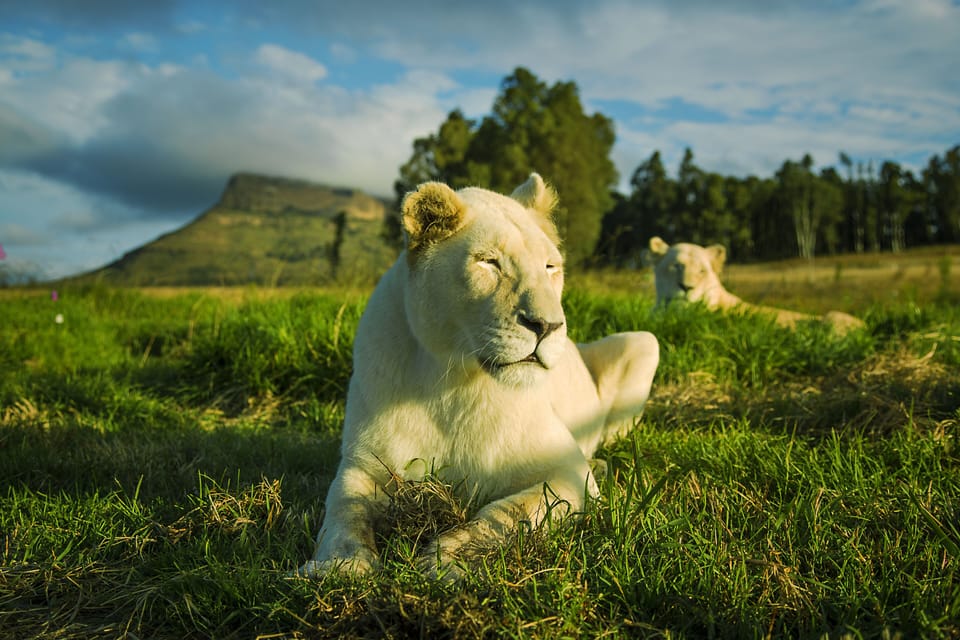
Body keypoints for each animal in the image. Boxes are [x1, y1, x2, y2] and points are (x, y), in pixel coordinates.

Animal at [297, 174, 660, 580]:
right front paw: (340, 566)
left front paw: (445, 561)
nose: (548, 326)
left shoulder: (566, 470)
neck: (450, 385)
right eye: (489, 262)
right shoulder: (362, 463)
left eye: (550, 267)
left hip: (644, 342)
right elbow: (344, 510)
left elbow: (509, 512)